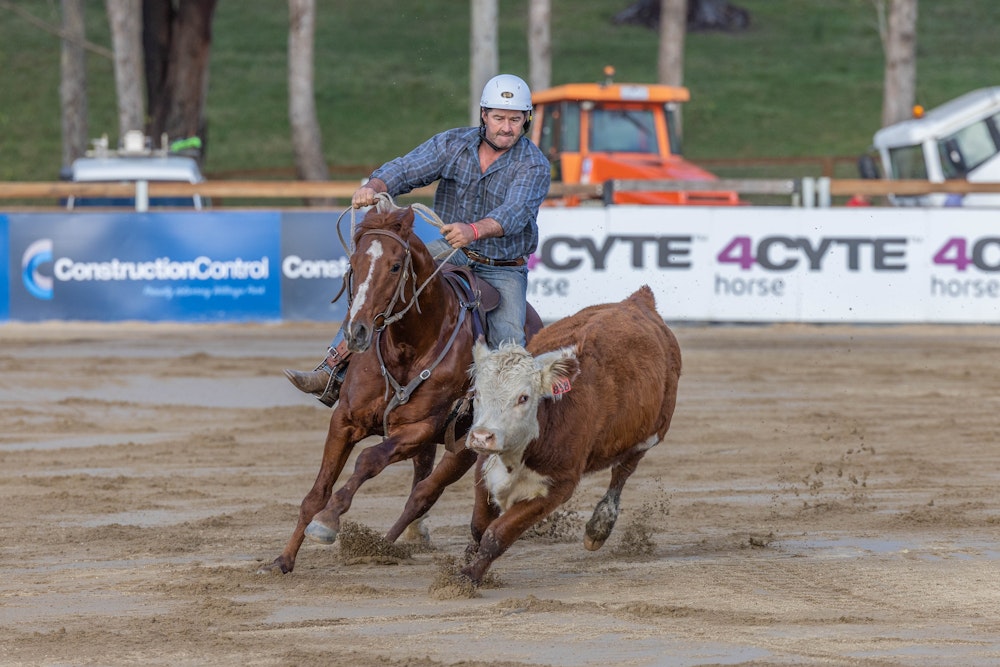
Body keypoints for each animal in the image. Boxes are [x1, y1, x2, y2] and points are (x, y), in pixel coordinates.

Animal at [260, 204, 540, 576]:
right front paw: (283, 559)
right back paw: (399, 540)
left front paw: (328, 520)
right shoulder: (345, 420)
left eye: (395, 266)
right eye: (354, 263)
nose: (357, 332)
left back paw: (384, 545)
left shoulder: (419, 428)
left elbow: (368, 460)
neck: (409, 346)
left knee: (424, 494)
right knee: (420, 483)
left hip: (466, 447)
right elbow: (316, 492)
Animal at [460, 288, 680, 584]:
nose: (482, 437)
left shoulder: (559, 486)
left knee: (622, 473)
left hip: (649, 435)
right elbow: (478, 527)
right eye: (478, 393)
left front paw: (466, 577)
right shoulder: (485, 468)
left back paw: (598, 528)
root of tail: (638, 301)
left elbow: (497, 535)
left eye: (523, 397)